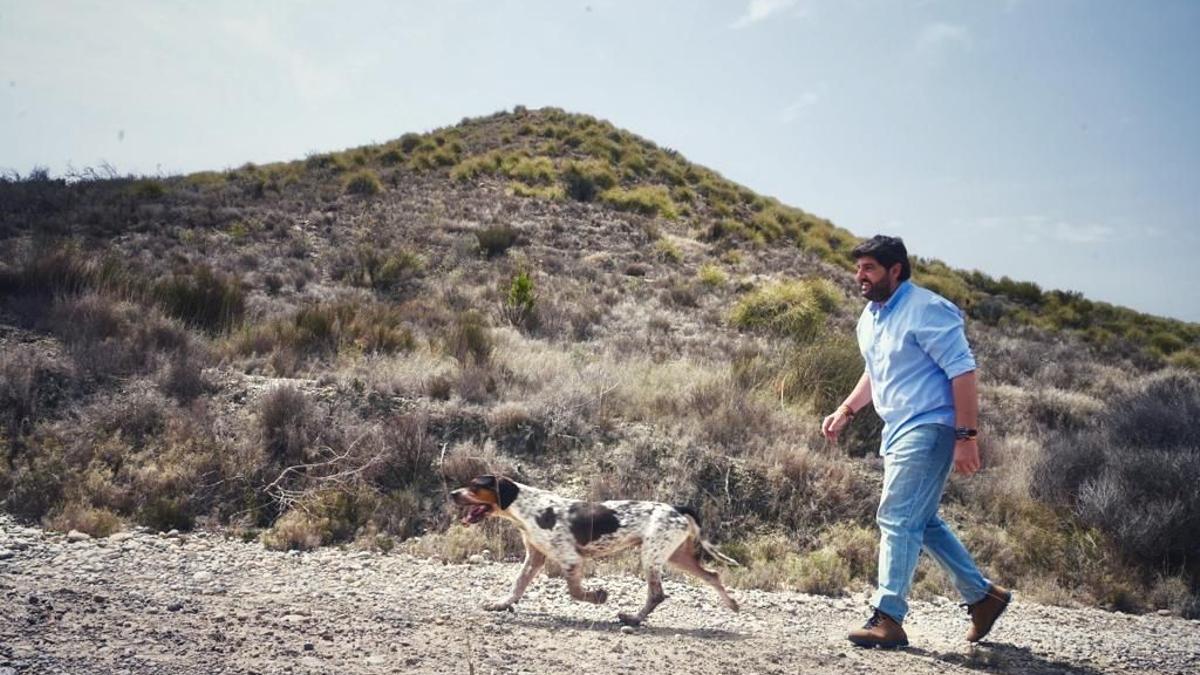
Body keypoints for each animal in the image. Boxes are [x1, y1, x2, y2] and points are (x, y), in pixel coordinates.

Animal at [451, 473, 734, 624]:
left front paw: (598, 597)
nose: (452, 493)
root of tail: (676, 507)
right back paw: (732, 604)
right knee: (713, 575)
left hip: (652, 556)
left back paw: (633, 619)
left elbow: (575, 591)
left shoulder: (571, 559)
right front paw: (501, 604)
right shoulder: (535, 558)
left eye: (475, 485)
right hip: (676, 556)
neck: (527, 509)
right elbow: (517, 586)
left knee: (656, 595)